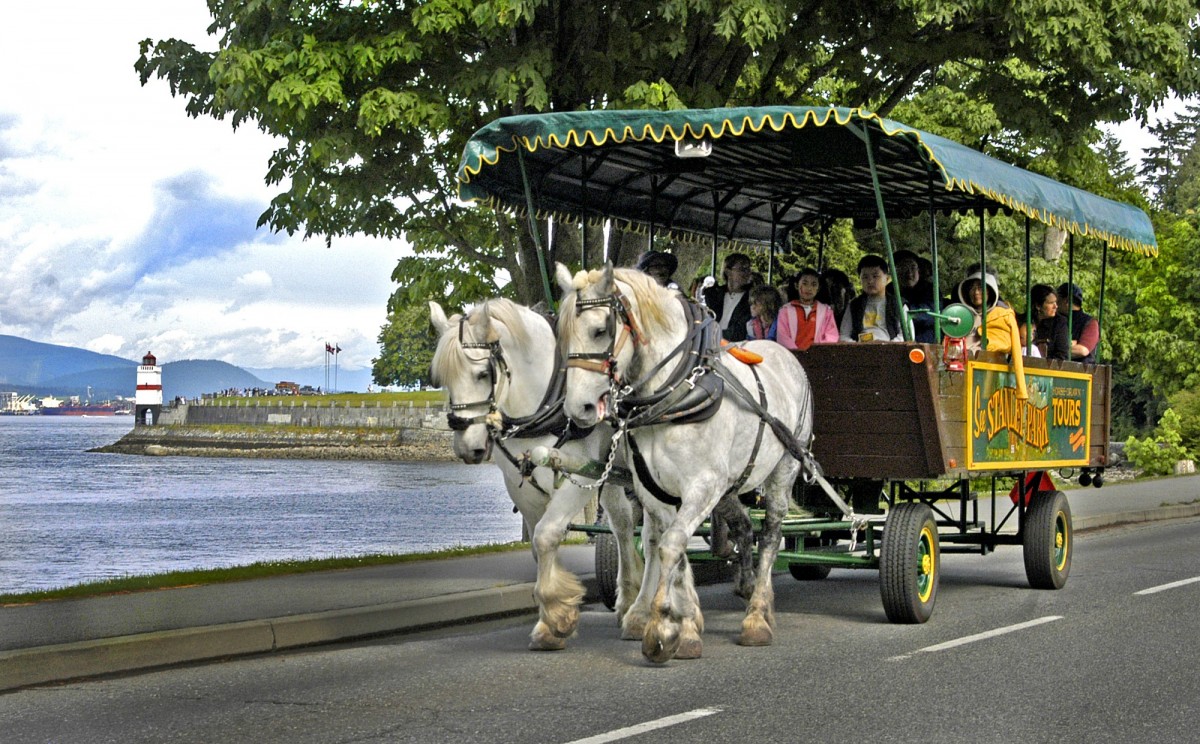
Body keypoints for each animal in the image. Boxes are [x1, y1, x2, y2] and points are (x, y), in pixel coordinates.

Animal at [427, 298, 643, 648]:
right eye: (444, 378)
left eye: (483, 373)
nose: (466, 447)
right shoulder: (523, 486)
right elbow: (538, 545)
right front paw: (552, 615)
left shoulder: (580, 476)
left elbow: (546, 535)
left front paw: (554, 618)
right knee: (623, 523)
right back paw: (629, 600)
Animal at [556, 264, 820, 657]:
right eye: (562, 335)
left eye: (600, 330)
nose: (578, 408)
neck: (677, 388)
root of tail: (785, 355)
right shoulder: (655, 490)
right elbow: (672, 548)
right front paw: (686, 623)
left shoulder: (702, 484)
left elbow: (670, 545)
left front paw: (664, 627)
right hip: (731, 482)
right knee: (744, 526)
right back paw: (748, 587)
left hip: (784, 466)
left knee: (771, 534)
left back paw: (757, 616)